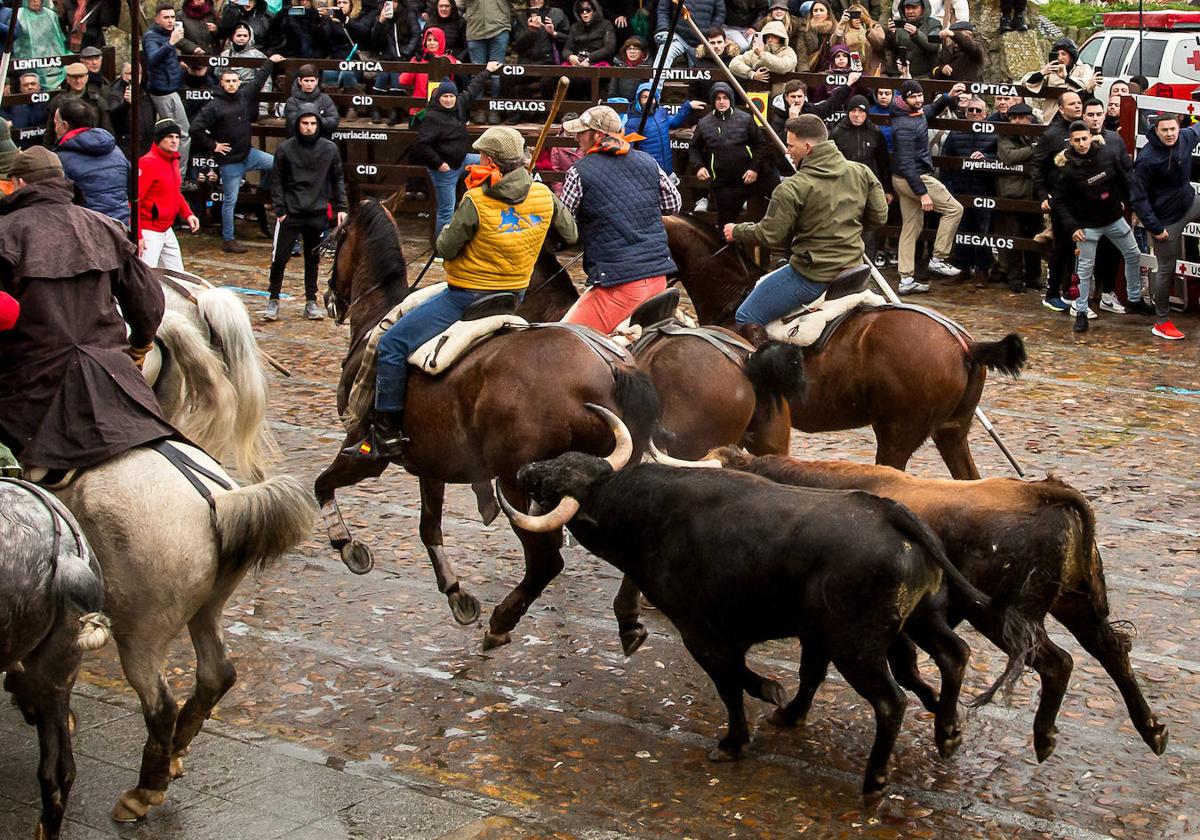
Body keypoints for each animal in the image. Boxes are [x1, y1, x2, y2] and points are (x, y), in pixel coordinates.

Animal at [52, 444, 314, 825]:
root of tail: (215, 498)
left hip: (140, 631)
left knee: (161, 706)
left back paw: (144, 793)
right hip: (208, 608)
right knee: (216, 674)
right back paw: (174, 754)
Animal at [314, 200, 662, 652]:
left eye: (335, 238)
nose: (329, 298)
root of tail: (611, 368)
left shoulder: (365, 453)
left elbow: (322, 485)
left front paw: (347, 545)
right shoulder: (431, 463)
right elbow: (429, 528)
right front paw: (456, 593)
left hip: (521, 481)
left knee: (545, 561)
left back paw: (501, 622)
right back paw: (628, 619)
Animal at [501, 456, 1036, 796]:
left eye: (552, 485)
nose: (524, 470)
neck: (646, 515)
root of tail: (893, 513)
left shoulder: (704, 635)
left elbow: (733, 684)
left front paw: (736, 738)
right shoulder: (806, 636)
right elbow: (801, 675)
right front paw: (785, 709)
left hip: (858, 646)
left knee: (891, 701)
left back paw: (876, 780)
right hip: (918, 620)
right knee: (953, 656)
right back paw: (947, 732)